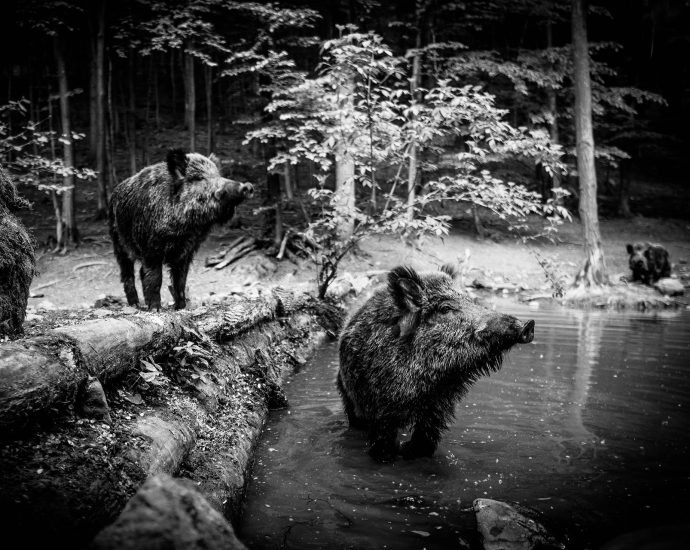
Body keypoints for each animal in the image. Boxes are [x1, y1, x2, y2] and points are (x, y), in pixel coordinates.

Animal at [109, 149, 253, 310]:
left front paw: (181, 307)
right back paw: (135, 304)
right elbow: (155, 278)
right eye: (199, 178)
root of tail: (115, 192)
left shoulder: (187, 251)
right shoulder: (151, 248)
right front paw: (156, 309)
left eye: (217, 174)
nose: (247, 186)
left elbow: (180, 280)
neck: (185, 230)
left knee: (140, 272)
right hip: (118, 243)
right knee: (128, 273)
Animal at [338, 265, 534, 462]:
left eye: (469, 300)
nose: (528, 324)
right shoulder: (382, 407)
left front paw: (409, 451)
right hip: (346, 392)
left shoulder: (438, 407)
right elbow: (383, 447)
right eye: (445, 308)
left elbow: (425, 442)